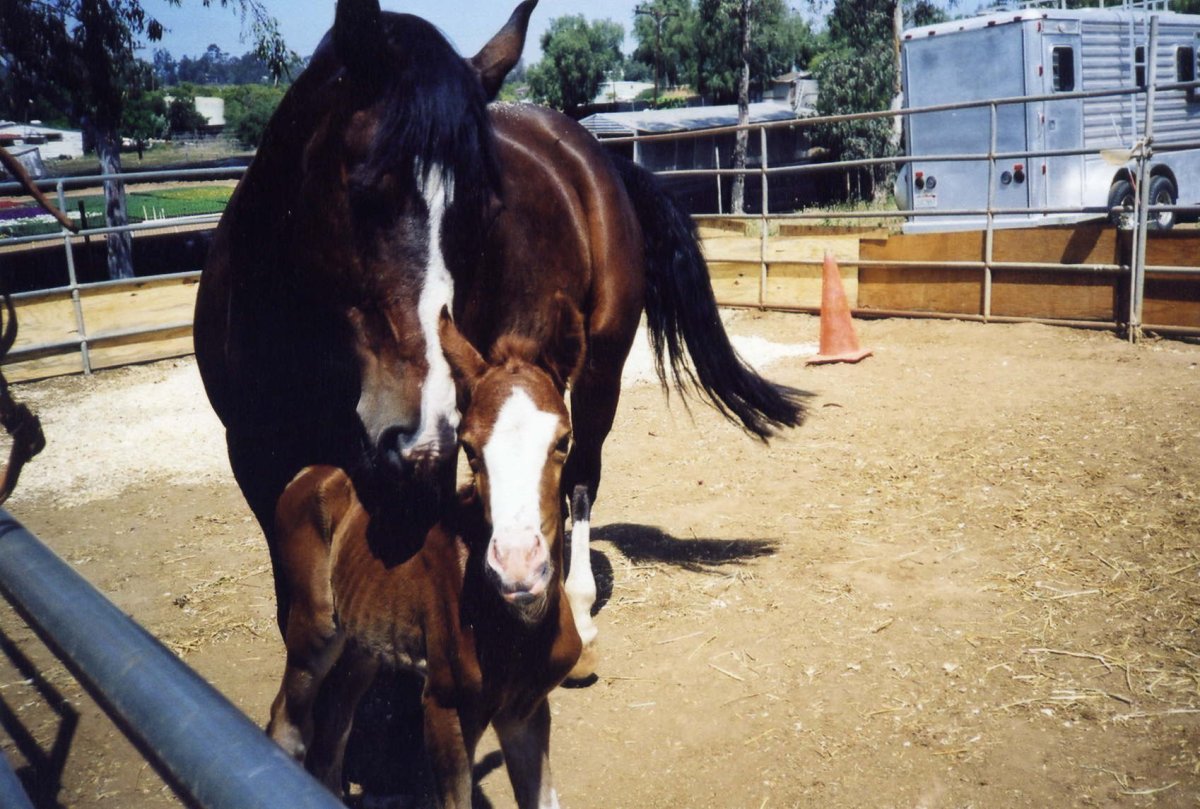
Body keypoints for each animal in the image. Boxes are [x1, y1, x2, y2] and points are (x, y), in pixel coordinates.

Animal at [267, 303, 584, 808]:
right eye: (469, 448)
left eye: (564, 442)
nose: (517, 566)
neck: (516, 629)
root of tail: (311, 474)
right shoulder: (444, 706)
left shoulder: (526, 710)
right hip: (314, 627)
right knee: (290, 723)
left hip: (363, 644)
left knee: (335, 722)